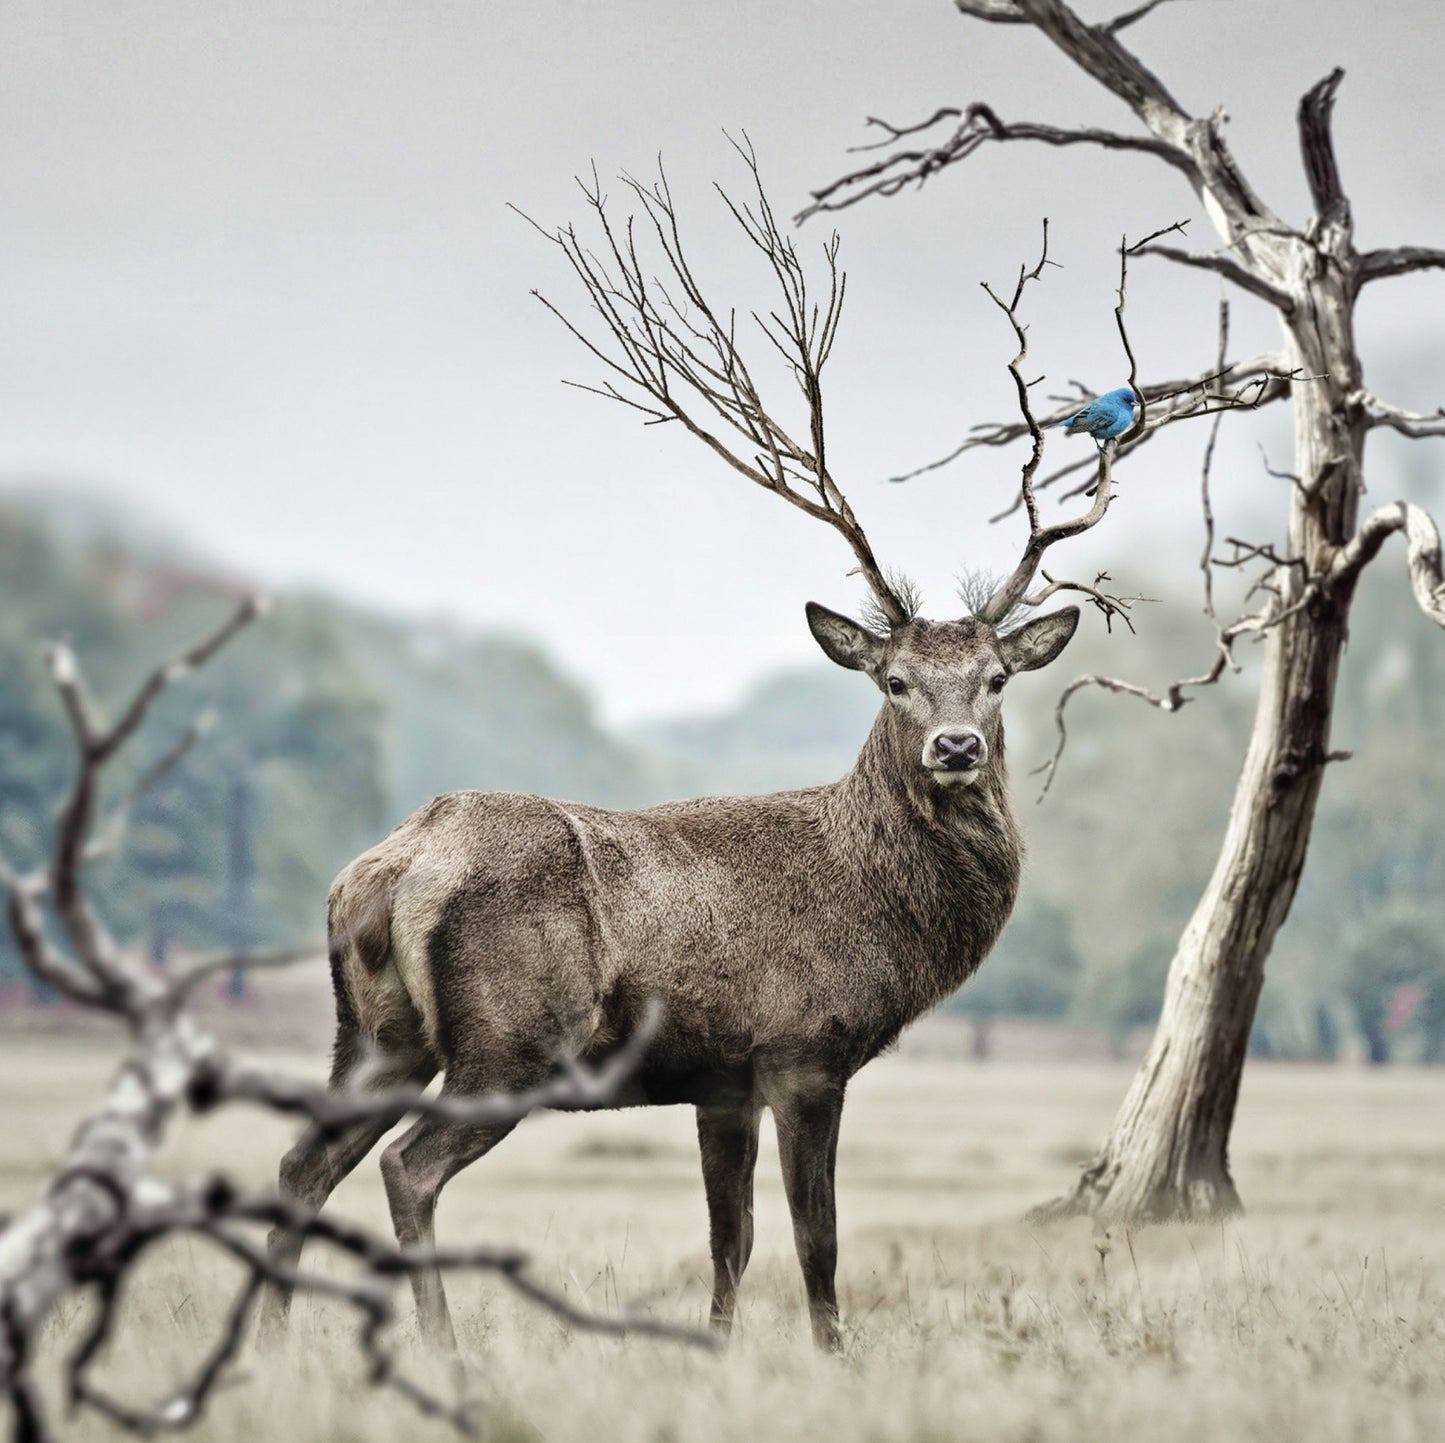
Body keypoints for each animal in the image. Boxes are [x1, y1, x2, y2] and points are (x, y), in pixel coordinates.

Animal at [260, 152, 1126, 1353]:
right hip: (511, 1039)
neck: (879, 910)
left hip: (377, 1033)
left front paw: (715, 1351)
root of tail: (389, 866)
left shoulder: (720, 1078)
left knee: (302, 1163)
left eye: (997, 679)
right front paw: (833, 1356)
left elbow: (731, 1238)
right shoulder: (804, 1047)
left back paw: (268, 1344)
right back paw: (438, 1343)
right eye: (893, 682)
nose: (955, 746)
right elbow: (815, 1238)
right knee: (406, 1168)